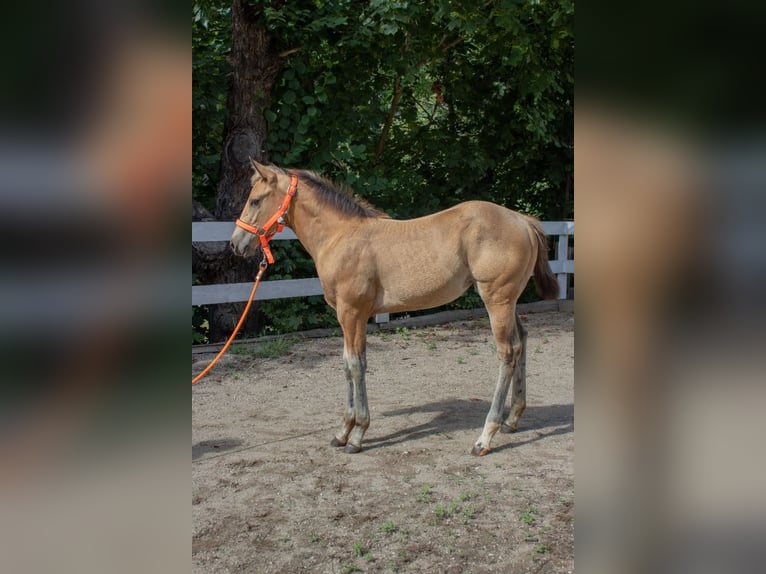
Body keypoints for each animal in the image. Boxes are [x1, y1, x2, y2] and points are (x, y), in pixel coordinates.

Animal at [228, 162, 560, 460]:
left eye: (255, 200)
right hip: (508, 301)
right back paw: (512, 420)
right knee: (522, 341)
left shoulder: (351, 313)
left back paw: (485, 437)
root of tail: (522, 220)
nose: (235, 244)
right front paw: (343, 432)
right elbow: (348, 364)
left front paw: (356, 434)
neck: (340, 236)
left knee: (507, 353)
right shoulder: (350, 317)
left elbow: (354, 365)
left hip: (497, 300)